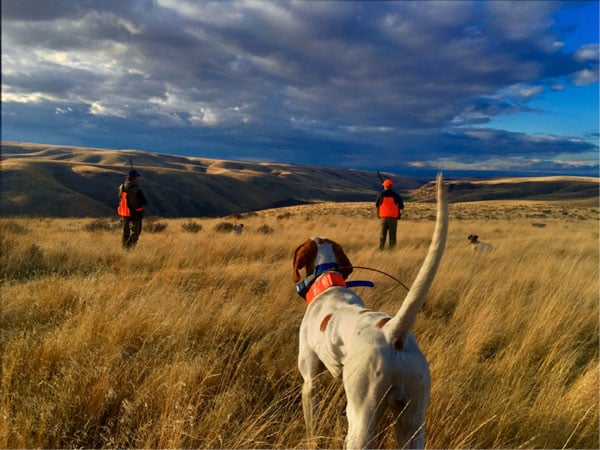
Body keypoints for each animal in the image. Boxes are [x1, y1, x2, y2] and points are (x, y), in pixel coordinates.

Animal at [292, 174, 448, 448]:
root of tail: (393, 331)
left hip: (363, 415)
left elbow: (311, 421)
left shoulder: (310, 381)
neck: (327, 282)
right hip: (413, 419)